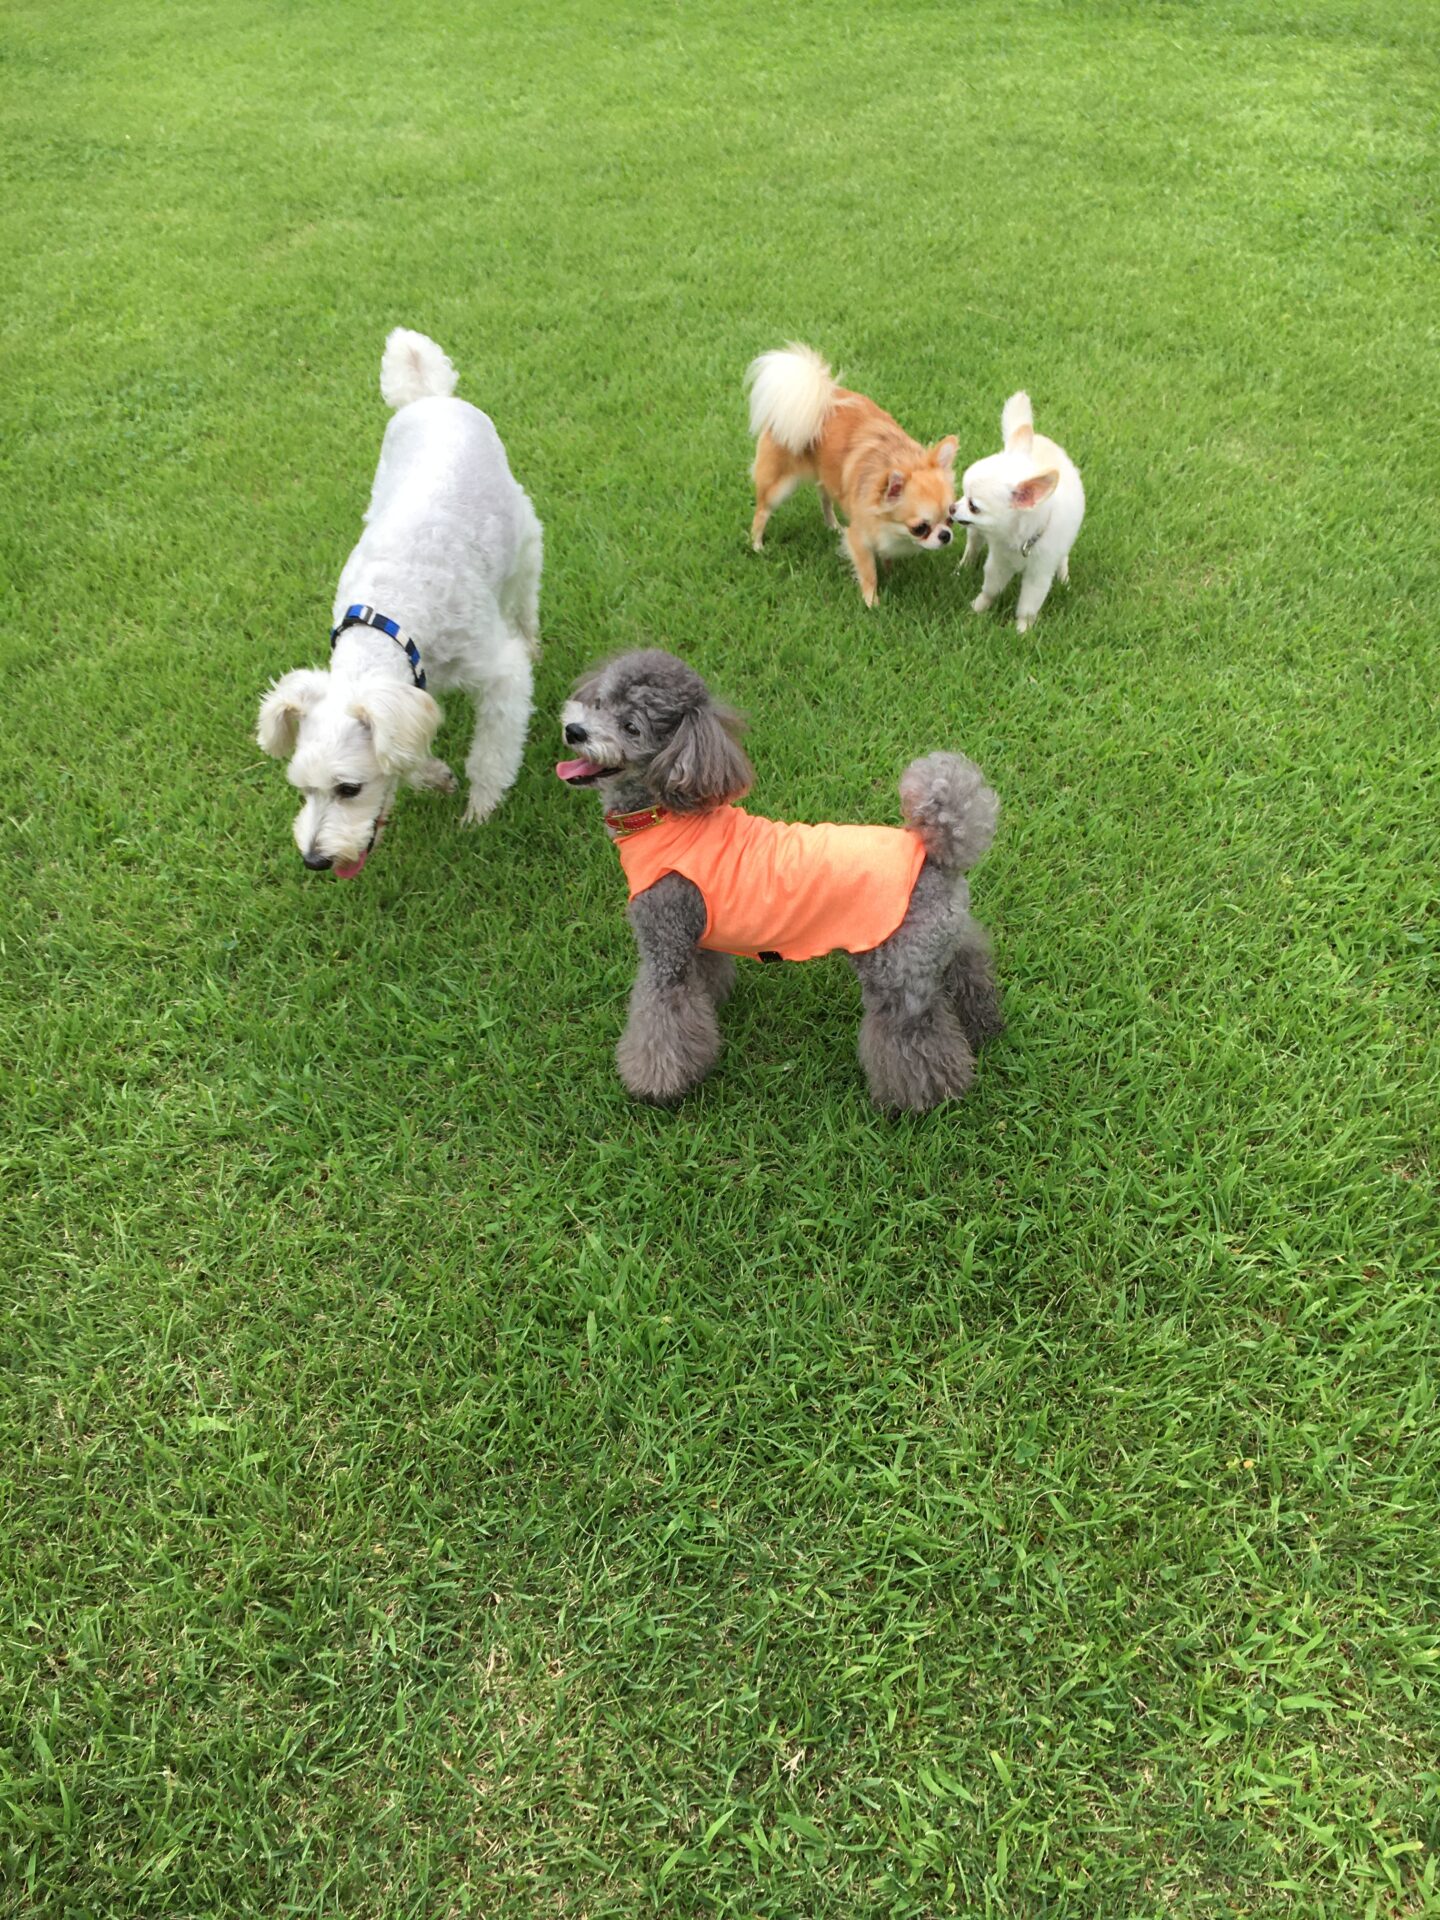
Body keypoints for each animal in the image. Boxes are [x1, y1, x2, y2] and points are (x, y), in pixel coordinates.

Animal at [255, 328, 543, 876]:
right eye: (303, 789)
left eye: (349, 789)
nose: (315, 861)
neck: (389, 621)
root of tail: (428, 397)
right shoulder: (408, 695)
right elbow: (404, 749)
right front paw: (432, 776)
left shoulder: (499, 673)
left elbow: (490, 754)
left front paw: (480, 810)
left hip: (523, 542)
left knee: (524, 600)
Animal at [556, 650, 1002, 1111]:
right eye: (600, 703)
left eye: (632, 727)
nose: (574, 731)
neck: (665, 818)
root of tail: (936, 851)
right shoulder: (698, 933)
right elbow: (704, 981)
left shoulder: (665, 944)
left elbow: (661, 1020)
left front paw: (655, 1086)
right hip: (941, 941)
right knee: (969, 972)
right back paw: (984, 1028)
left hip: (896, 971)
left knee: (915, 1034)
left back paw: (926, 1100)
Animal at [746, 343, 958, 606]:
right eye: (920, 528)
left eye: (950, 518)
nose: (946, 535)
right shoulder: (858, 538)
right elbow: (868, 572)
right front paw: (872, 602)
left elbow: (885, 557)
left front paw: (889, 569)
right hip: (778, 484)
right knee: (762, 511)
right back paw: (757, 545)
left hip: (828, 476)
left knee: (825, 498)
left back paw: (832, 525)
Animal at [955, 391, 1084, 634]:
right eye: (962, 495)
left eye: (974, 506)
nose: (951, 508)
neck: (1020, 540)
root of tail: (1039, 438)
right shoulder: (999, 561)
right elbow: (991, 588)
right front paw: (978, 607)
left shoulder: (1039, 574)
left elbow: (1029, 604)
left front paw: (1023, 630)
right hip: (975, 532)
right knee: (973, 544)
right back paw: (965, 564)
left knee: (1063, 557)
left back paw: (1064, 577)